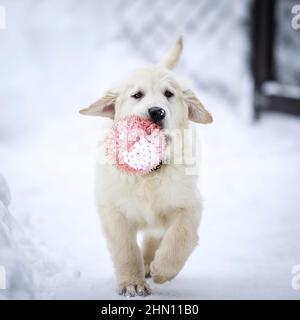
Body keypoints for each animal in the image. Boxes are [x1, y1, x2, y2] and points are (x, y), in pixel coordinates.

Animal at [78, 38, 212, 298]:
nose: (157, 112)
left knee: (156, 235)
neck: (148, 171)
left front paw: (161, 269)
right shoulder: (113, 211)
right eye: (137, 95)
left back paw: (151, 262)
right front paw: (132, 282)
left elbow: (180, 238)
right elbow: (126, 249)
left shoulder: (189, 204)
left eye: (169, 94)